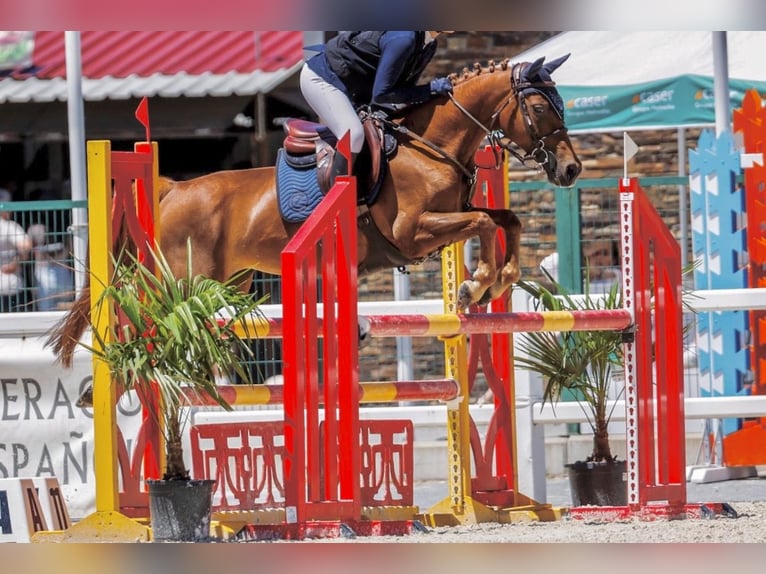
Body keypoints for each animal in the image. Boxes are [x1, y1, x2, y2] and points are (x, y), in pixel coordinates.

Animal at [47, 54, 582, 368]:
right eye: (542, 108)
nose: (571, 168)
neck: (430, 146)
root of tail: (174, 188)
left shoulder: (450, 218)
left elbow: (506, 219)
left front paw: (499, 279)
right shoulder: (412, 233)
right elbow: (485, 221)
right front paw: (478, 284)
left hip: (227, 279)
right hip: (179, 277)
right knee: (143, 306)